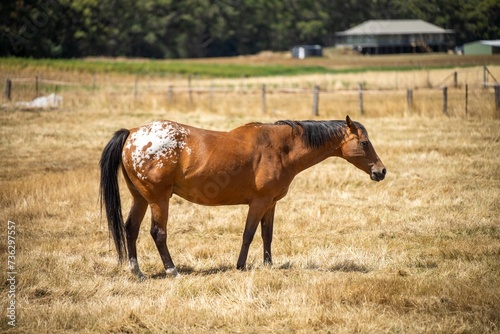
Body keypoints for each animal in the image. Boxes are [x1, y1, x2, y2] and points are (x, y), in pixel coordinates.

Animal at [98, 115, 386, 280]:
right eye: (364, 143)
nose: (381, 171)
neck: (281, 148)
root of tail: (132, 133)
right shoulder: (258, 203)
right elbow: (248, 234)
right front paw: (240, 266)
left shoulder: (271, 203)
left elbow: (267, 234)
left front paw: (268, 266)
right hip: (159, 200)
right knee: (158, 233)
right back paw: (172, 270)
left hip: (140, 198)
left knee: (130, 230)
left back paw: (137, 272)